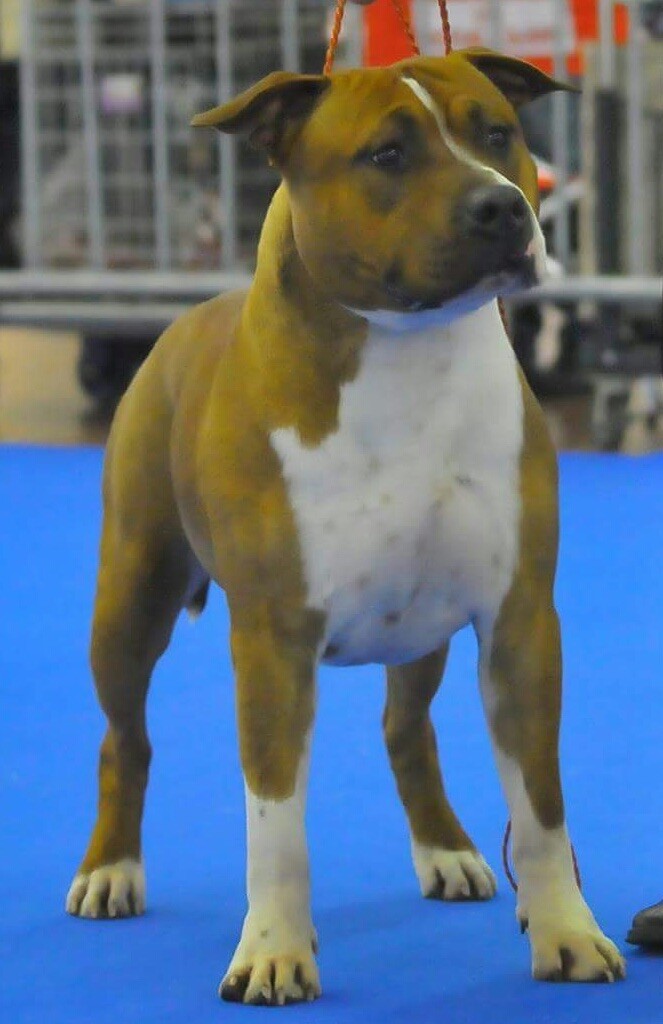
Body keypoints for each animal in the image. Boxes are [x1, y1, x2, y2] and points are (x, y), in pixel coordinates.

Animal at [66, 49, 625, 1003]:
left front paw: (565, 930)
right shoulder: (274, 638)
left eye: (496, 133)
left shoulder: (516, 621)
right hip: (129, 599)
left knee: (406, 729)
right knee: (123, 739)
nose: (501, 207)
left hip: (422, 629)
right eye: (385, 155)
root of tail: (185, 316)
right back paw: (110, 870)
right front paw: (273, 951)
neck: (407, 355)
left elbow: (541, 807)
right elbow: (275, 821)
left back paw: (448, 851)